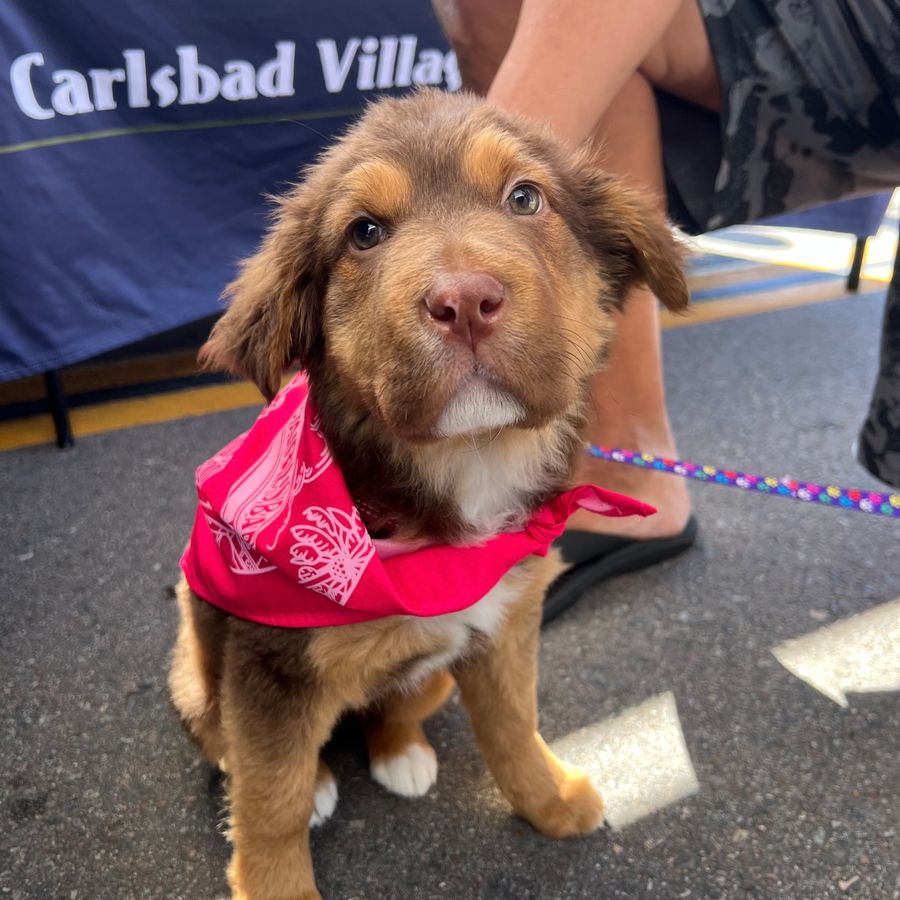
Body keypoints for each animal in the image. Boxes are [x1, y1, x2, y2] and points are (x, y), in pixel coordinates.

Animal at [171, 86, 688, 900]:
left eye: (525, 197)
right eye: (364, 233)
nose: (465, 301)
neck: (467, 472)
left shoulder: (506, 623)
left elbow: (514, 728)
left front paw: (551, 802)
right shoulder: (270, 672)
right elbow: (270, 800)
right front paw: (278, 879)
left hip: (435, 675)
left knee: (391, 708)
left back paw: (400, 753)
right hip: (199, 677)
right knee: (240, 751)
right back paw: (313, 779)